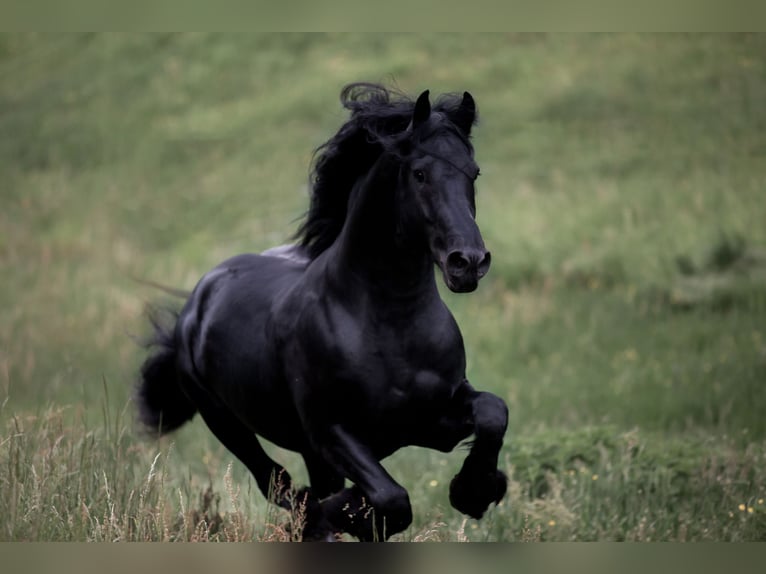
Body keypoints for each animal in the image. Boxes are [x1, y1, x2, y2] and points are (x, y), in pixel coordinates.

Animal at [138, 83, 510, 544]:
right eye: (420, 174)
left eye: (473, 173)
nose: (468, 262)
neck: (392, 324)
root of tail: (196, 302)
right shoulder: (333, 433)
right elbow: (391, 500)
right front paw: (344, 517)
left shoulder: (429, 418)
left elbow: (493, 412)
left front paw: (476, 491)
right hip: (227, 423)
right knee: (276, 481)